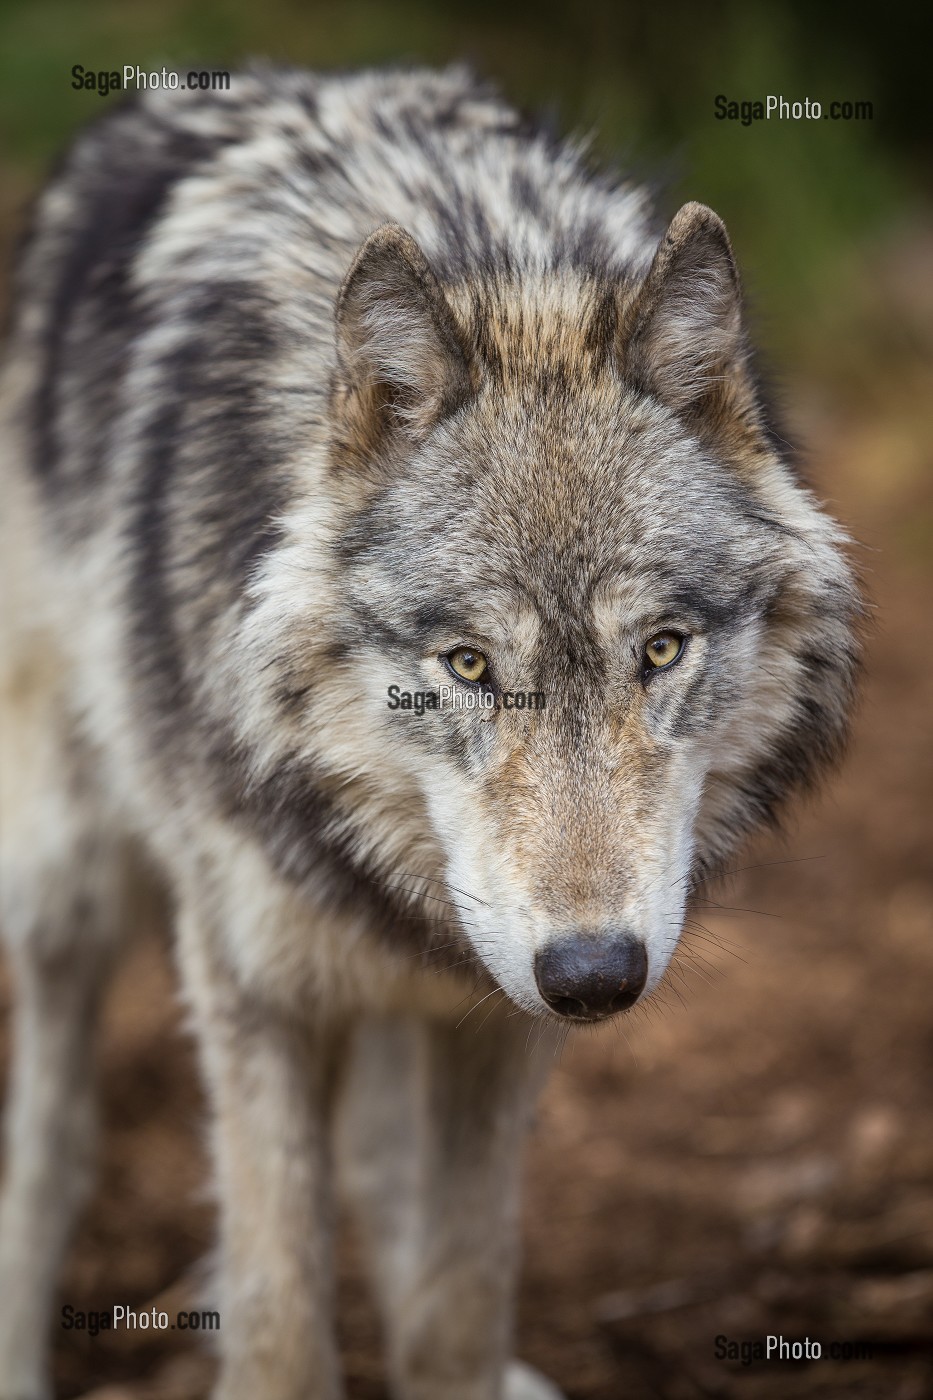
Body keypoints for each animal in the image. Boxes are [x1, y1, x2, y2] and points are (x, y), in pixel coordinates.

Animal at [0, 63, 857, 1400]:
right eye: (467, 664)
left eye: (661, 649)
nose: (595, 974)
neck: (491, 259)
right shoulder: (253, 984)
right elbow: (282, 1322)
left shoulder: (497, 1018)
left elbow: (456, 1307)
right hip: (66, 876)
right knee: (52, 1133)